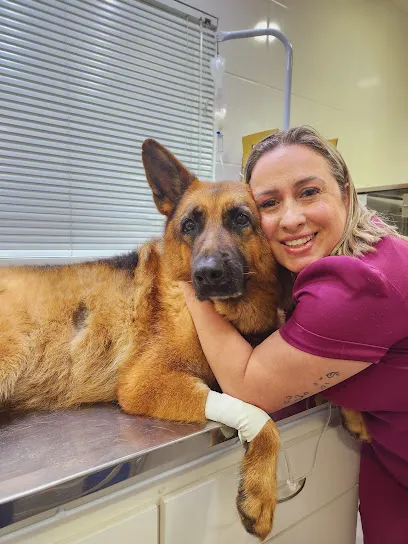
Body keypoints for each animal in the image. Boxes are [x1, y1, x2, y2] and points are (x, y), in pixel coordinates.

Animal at [0, 139, 280, 540]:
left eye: (241, 219)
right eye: (189, 225)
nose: (207, 274)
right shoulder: (145, 383)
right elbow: (261, 418)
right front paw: (261, 494)